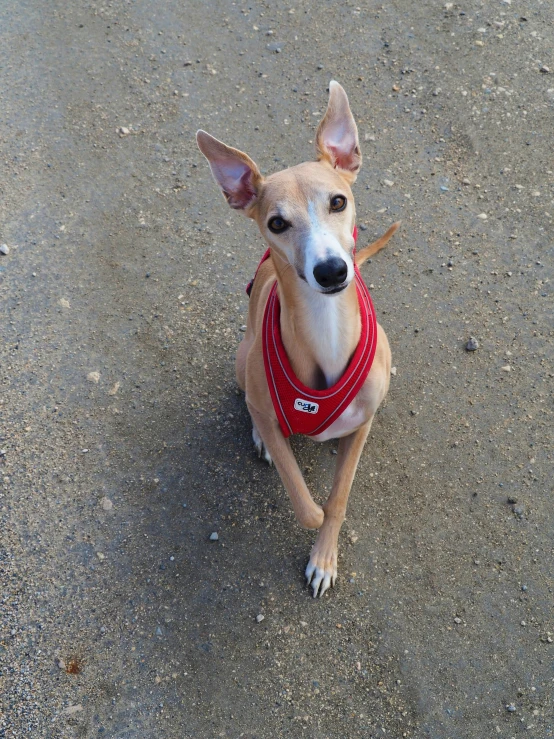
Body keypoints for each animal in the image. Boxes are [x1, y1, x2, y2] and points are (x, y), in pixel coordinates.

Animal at [196, 84, 398, 600]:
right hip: (242, 360)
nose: (331, 270)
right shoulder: (270, 407)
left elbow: (338, 498)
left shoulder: (363, 422)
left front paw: (324, 558)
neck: (325, 330)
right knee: (253, 405)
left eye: (338, 202)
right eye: (277, 223)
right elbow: (308, 504)